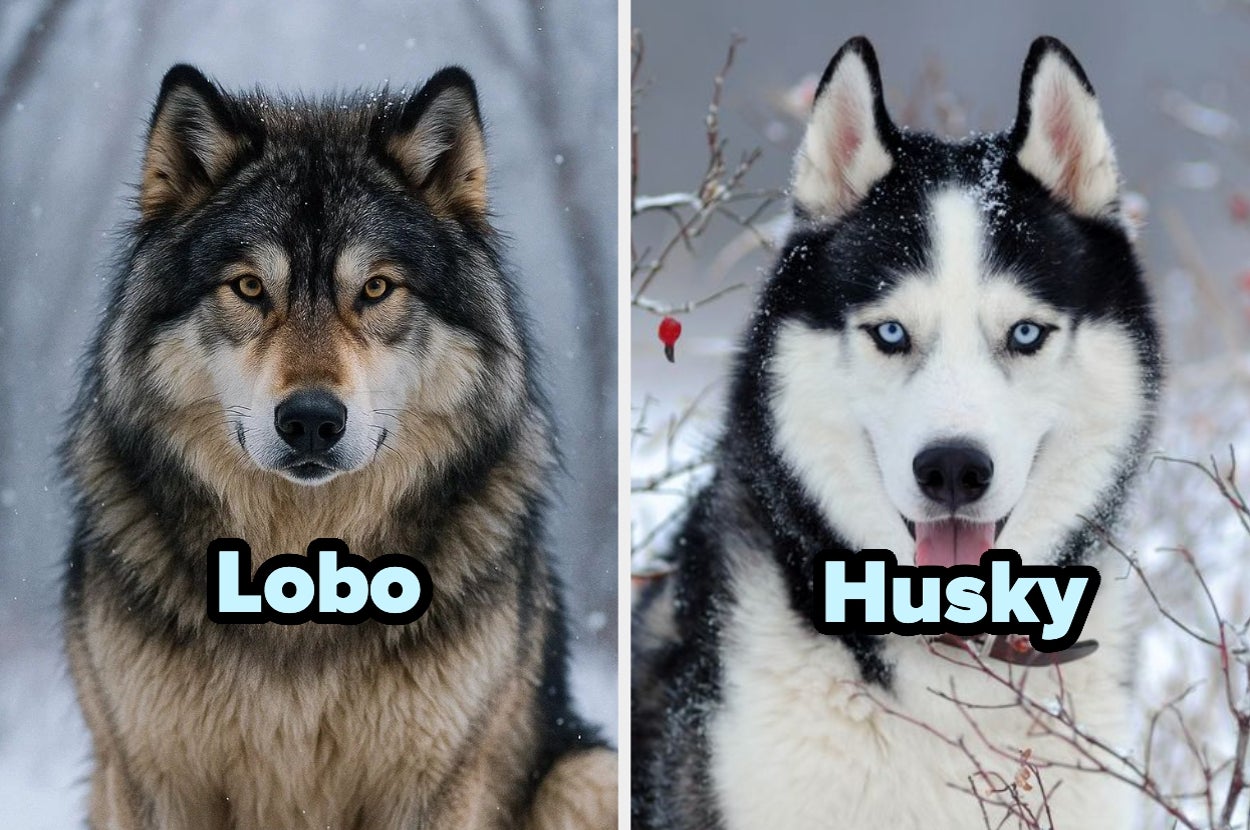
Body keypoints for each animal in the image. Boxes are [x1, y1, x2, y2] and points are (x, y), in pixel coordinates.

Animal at [62, 64, 615, 829]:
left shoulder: (435, 786)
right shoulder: (155, 782)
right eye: (249, 287)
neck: (303, 567)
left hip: (586, 773)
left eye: (377, 288)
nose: (311, 421)